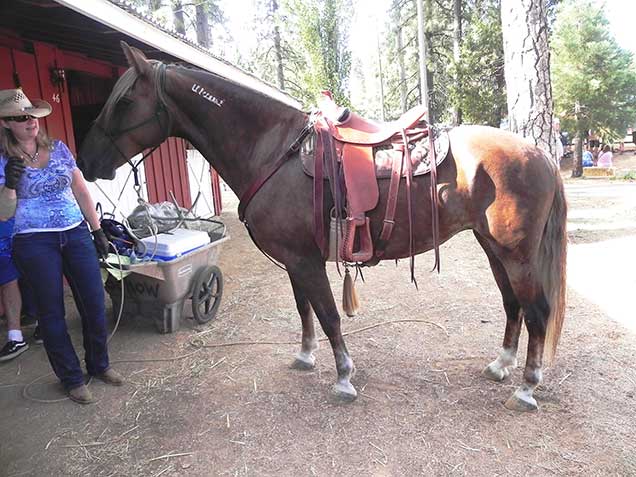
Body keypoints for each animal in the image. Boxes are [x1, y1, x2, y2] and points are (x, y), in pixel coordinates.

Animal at [77, 42, 568, 410]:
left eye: (124, 100)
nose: (85, 161)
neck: (273, 150)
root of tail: (540, 154)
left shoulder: (305, 260)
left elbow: (329, 314)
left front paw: (344, 378)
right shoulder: (296, 260)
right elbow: (305, 310)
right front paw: (306, 356)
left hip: (516, 255)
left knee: (537, 311)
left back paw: (527, 387)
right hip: (493, 248)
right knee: (512, 305)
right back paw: (501, 366)